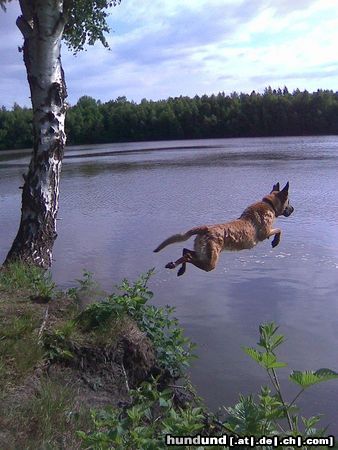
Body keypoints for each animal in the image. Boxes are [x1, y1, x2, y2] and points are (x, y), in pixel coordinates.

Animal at [153, 182, 294, 274]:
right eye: (289, 202)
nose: (293, 209)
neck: (269, 204)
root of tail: (205, 228)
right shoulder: (265, 233)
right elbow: (279, 229)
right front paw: (275, 241)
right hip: (211, 262)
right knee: (188, 256)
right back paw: (178, 266)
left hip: (203, 254)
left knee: (185, 251)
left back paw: (177, 266)